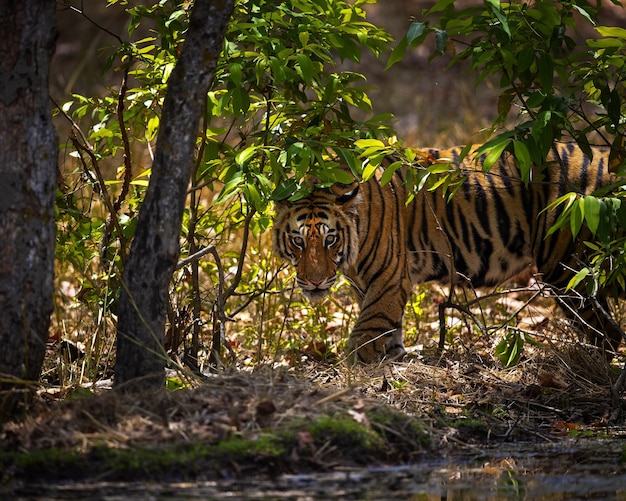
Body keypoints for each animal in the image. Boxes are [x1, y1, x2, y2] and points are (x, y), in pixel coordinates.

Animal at [272, 143, 624, 362]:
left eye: (330, 239)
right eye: (298, 242)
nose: (315, 282)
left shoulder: (388, 280)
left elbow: (367, 332)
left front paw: (352, 376)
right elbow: (389, 329)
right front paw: (394, 360)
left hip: (568, 270)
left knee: (608, 332)